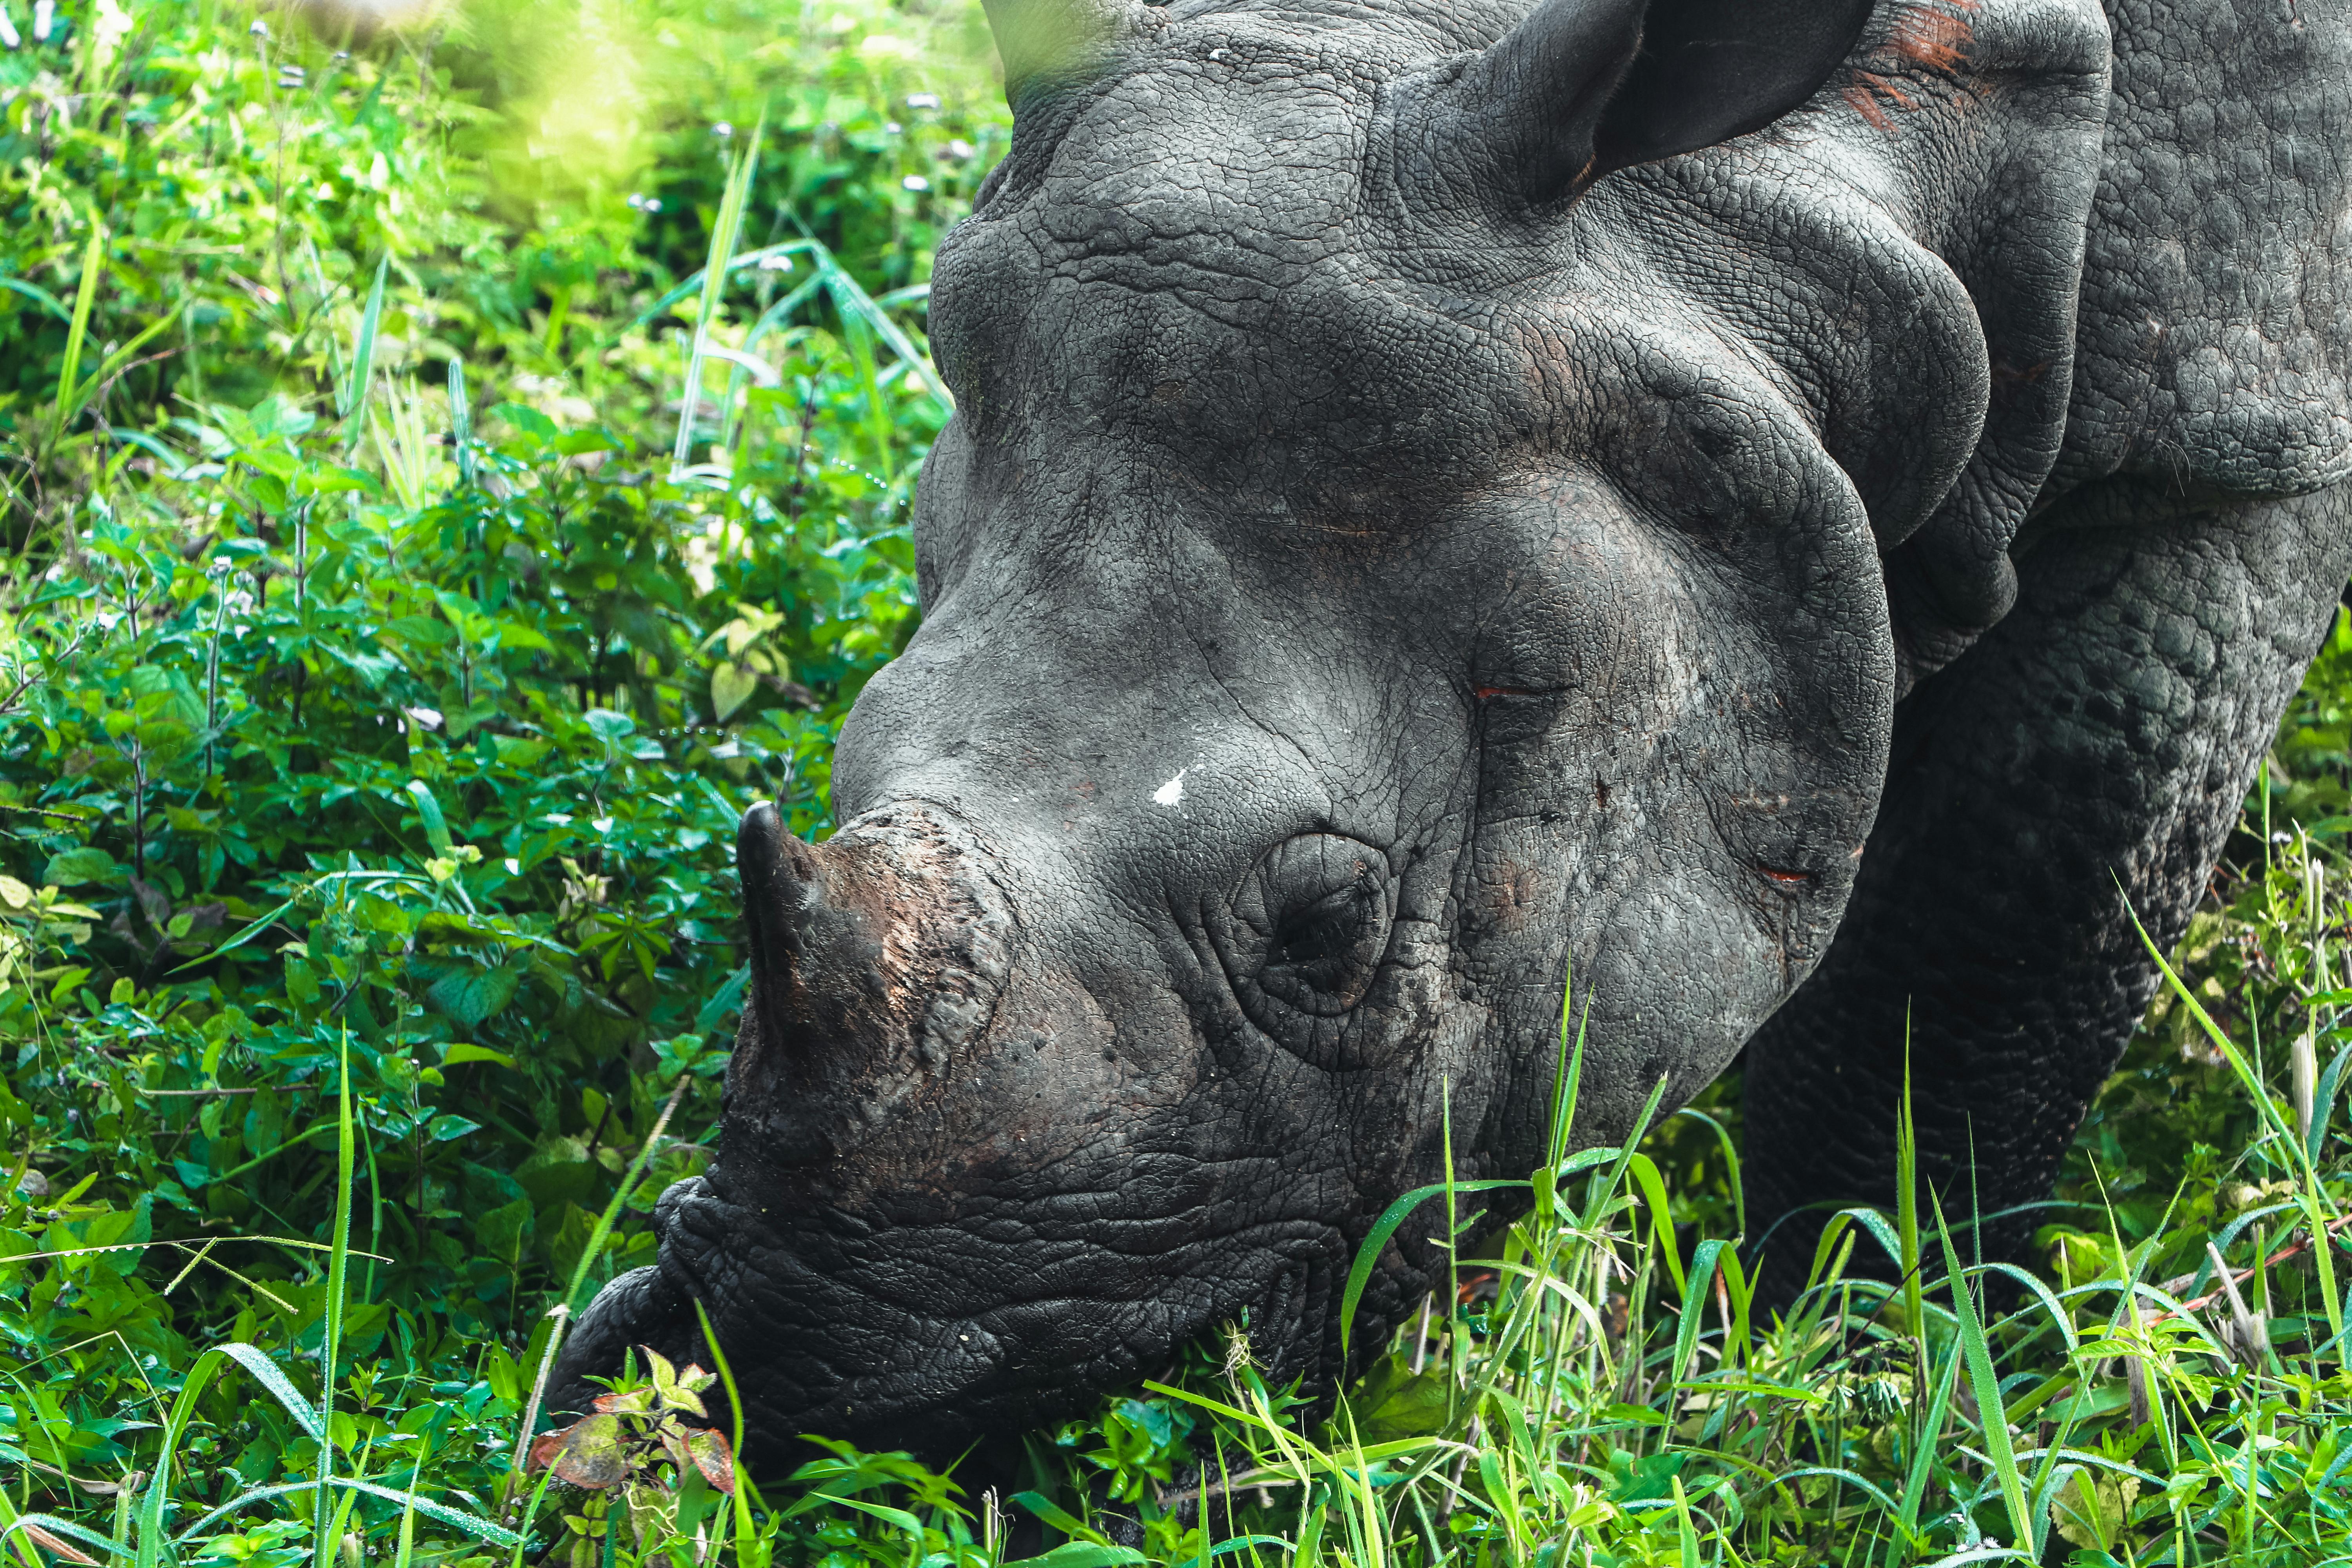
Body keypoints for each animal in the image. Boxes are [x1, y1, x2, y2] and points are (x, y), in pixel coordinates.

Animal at [554, 0, 2352, 1457]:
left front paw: (1861, 1369)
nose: (794, 1390)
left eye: (1328, 926)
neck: (1793, 204)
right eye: (846, 764)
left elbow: (1979, 950)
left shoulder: (2235, 436)